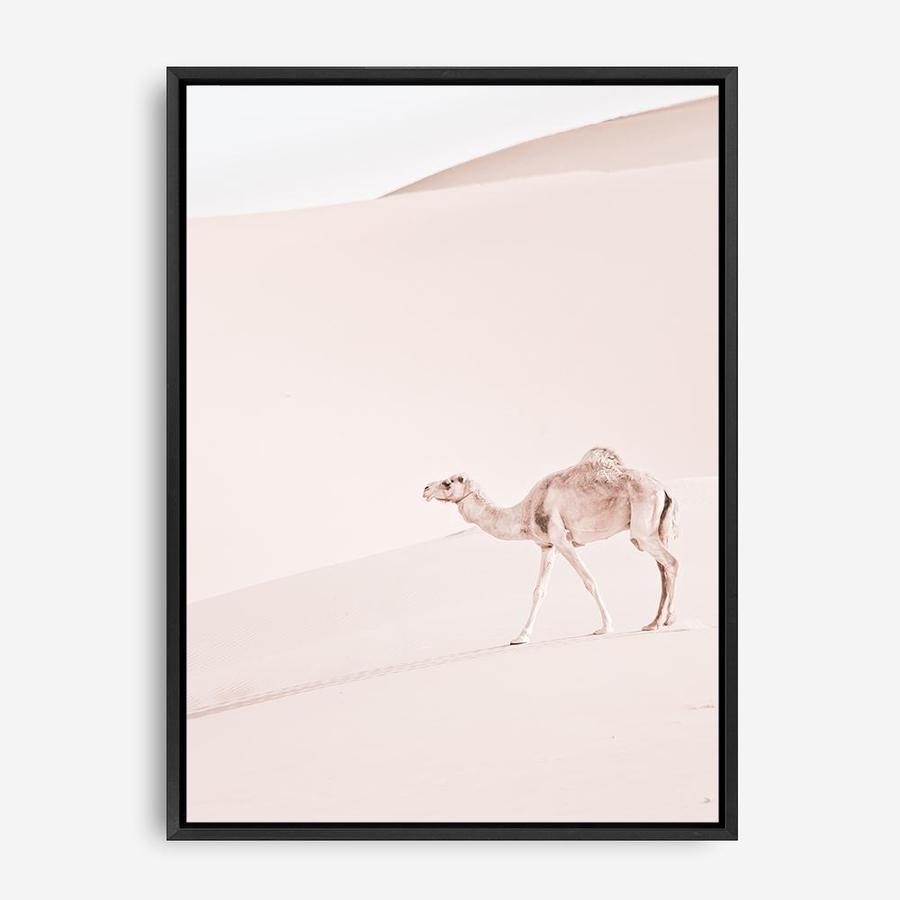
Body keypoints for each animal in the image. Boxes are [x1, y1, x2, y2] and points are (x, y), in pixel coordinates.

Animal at [422, 448, 679, 645]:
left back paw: (669, 619)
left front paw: (605, 626)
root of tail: (663, 488)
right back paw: (654, 623)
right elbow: (539, 591)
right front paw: (521, 637)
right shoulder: (547, 545)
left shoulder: (561, 538)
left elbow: (589, 581)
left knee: (671, 562)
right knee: (663, 568)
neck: (524, 512)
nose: (425, 488)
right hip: (655, 530)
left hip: (643, 529)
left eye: (447, 483)